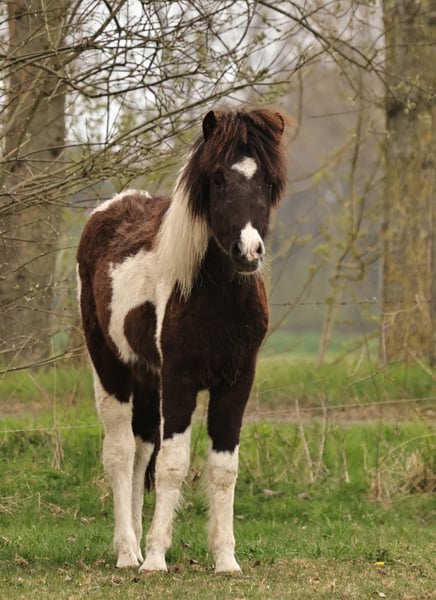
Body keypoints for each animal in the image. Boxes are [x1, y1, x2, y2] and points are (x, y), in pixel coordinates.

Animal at [76, 107, 288, 573]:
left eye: (267, 180)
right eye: (219, 179)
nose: (249, 252)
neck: (216, 298)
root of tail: (107, 210)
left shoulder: (236, 382)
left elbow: (223, 468)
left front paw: (226, 560)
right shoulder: (180, 379)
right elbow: (173, 465)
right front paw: (156, 559)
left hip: (146, 379)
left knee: (141, 451)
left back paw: (135, 546)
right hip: (111, 370)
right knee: (120, 454)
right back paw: (128, 553)